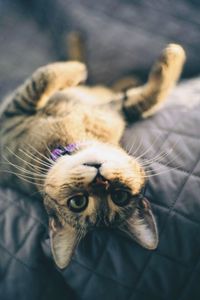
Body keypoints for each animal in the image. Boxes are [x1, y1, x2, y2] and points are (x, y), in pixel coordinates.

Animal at [0, 41, 184, 268]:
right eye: (78, 202)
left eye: (119, 196)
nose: (100, 180)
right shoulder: (11, 114)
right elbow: (45, 76)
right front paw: (76, 70)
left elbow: (149, 96)